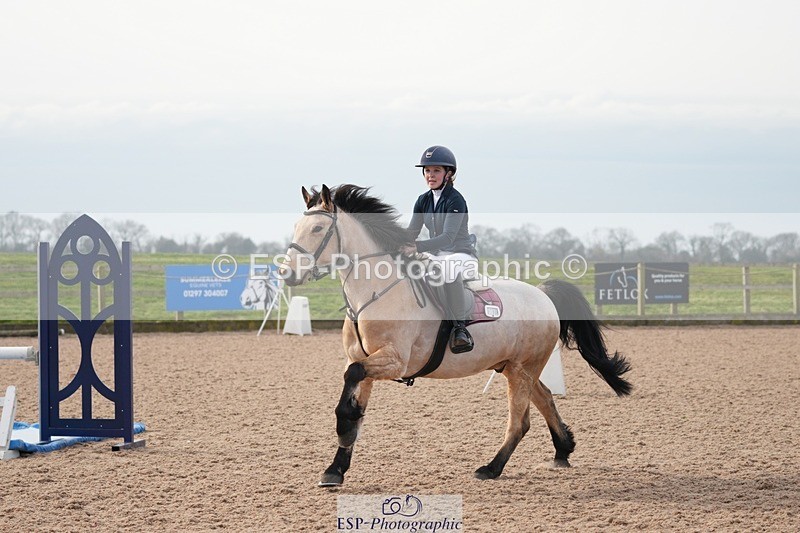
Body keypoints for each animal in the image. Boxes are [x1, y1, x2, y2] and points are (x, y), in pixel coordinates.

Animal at [280, 184, 632, 487]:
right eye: (296, 226)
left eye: (317, 229)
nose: (287, 274)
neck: (376, 292)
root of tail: (543, 295)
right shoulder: (363, 361)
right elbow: (353, 407)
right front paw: (335, 469)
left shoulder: (393, 361)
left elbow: (350, 391)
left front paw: (341, 439)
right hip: (514, 367)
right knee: (545, 398)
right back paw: (562, 450)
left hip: (522, 369)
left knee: (519, 421)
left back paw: (491, 468)